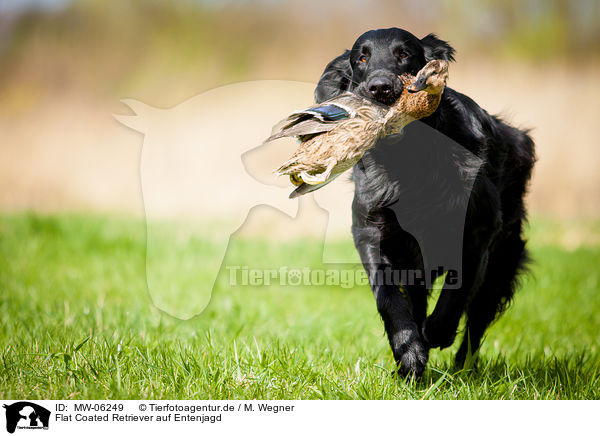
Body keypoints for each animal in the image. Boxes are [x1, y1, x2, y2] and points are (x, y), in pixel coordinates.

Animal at [314, 29, 536, 376]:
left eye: (404, 54)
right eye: (361, 58)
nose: (380, 87)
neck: (408, 160)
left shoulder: (478, 230)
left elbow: (458, 288)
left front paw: (437, 332)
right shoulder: (371, 231)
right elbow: (387, 294)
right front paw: (409, 352)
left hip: (503, 256)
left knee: (477, 320)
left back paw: (463, 366)